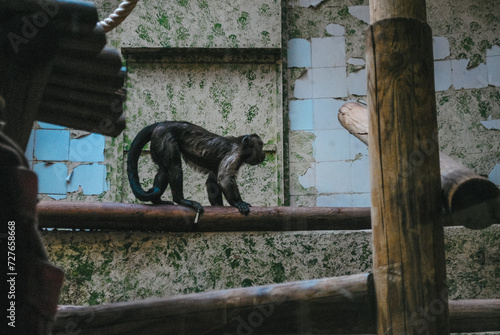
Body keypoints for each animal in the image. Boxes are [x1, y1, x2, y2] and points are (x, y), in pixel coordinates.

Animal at [127, 122, 266, 217]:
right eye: (261, 145)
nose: (264, 153)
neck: (241, 147)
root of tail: (163, 123)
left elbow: (212, 181)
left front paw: (219, 208)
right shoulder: (235, 154)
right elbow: (224, 179)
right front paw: (238, 203)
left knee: (164, 169)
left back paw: (157, 201)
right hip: (163, 137)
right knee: (174, 166)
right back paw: (181, 200)